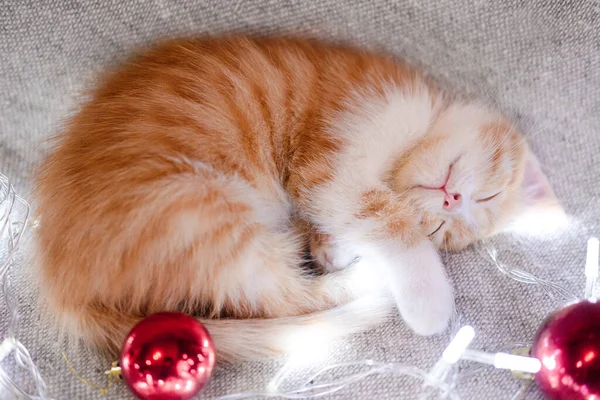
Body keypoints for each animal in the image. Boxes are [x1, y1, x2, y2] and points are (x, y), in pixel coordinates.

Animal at [34, 36, 556, 362]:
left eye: (445, 227)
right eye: (488, 192)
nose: (451, 200)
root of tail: (65, 287)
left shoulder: (329, 174)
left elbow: (351, 214)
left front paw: (331, 245)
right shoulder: (338, 152)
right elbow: (381, 215)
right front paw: (430, 299)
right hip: (195, 212)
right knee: (281, 297)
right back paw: (373, 282)